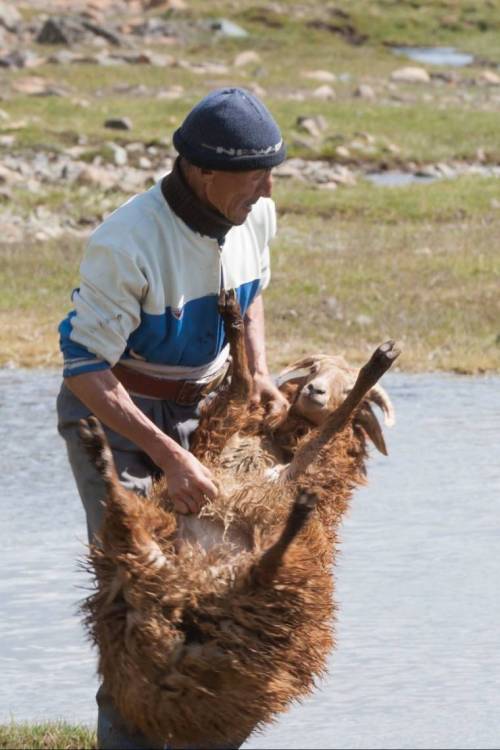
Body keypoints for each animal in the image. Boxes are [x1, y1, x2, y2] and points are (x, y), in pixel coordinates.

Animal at [77, 290, 398, 750]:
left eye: (339, 379)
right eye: (313, 368)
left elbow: (320, 430)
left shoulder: (285, 472)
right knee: (131, 521)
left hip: (261, 596)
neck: (271, 443)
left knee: (265, 565)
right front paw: (231, 318)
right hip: (162, 552)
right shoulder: (218, 440)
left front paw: (371, 369)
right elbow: (245, 388)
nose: (314, 390)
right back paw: (98, 450)